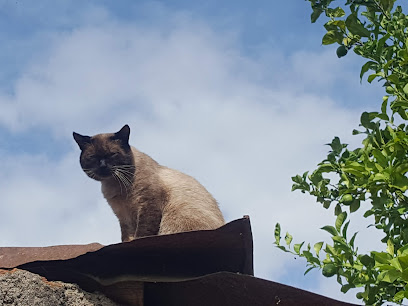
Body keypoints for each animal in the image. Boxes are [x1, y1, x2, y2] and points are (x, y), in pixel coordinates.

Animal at [73, 124, 226, 241]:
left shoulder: (147, 206)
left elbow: (142, 234)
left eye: (112, 154)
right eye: (93, 157)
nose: (103, 166)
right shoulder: (123, 217)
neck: (116, 185)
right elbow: (126, 238)